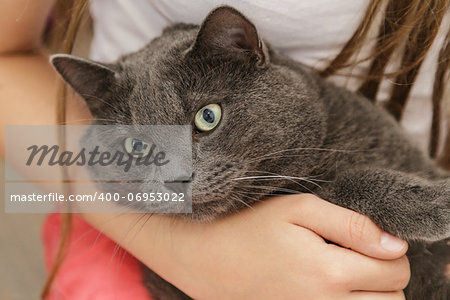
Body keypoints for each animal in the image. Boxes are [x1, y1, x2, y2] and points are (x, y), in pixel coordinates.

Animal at [51, 5, 448, 298]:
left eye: (208, 116)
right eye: (137, 146)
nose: (177, 179)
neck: (330, 149)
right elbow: (342, 187)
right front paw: (438, 203)